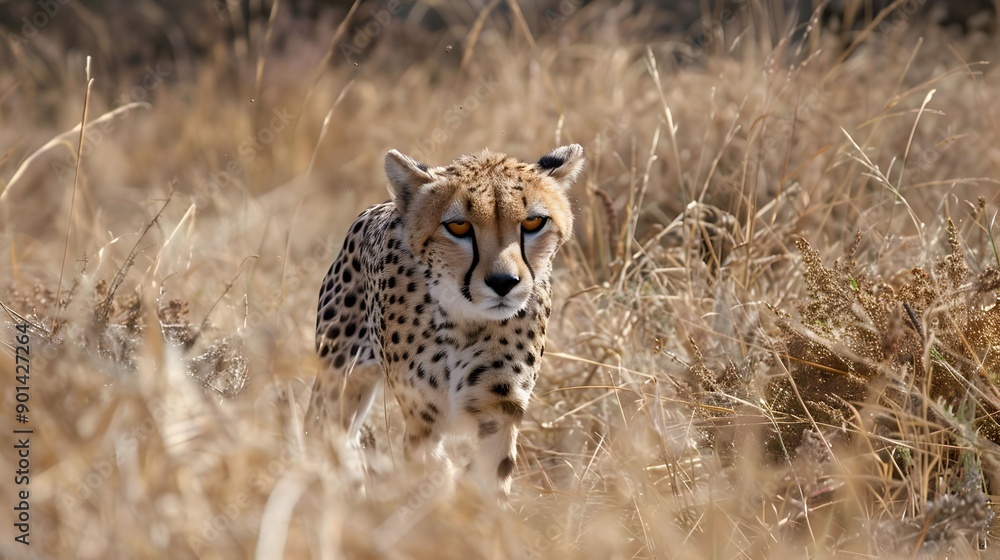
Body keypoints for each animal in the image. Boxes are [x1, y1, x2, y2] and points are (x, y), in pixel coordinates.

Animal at [305, 144, 584, 496]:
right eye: (459, 227)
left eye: (534, 222)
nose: (503, 282)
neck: (464, 320)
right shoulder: (422, 417)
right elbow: (431, 474)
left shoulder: (501, 412)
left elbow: (487, 478)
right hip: (337, 380)